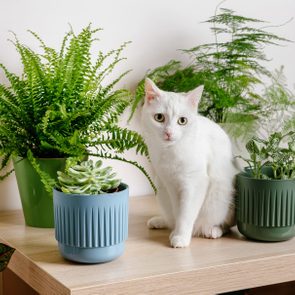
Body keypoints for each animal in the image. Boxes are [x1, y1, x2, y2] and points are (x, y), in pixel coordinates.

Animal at [141, 77, 238, 249]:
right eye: (159, 117)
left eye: (182, 121)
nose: (169, 133)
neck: (170, 151)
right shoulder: (171, 184)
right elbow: (178, 211)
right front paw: (177, 232)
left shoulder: (195, 183)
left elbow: (186, 213)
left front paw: (180, 237)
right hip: (161, 188)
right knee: (170, 217)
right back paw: (160, 222)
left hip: (221, 194)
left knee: (224, 225)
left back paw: (212, 230)